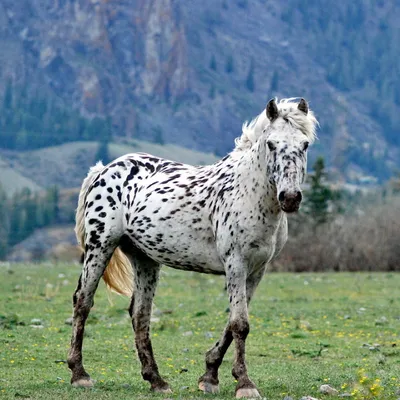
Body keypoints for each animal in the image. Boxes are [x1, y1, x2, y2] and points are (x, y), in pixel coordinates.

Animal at [68, 99, 318, 396]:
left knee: (140, 313)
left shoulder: (257, 270)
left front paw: (210, 375)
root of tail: (103, 170)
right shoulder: (236, 263)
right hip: (100, 245)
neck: (247, 193)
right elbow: (240, 324)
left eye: (304, 144)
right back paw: (79, 374)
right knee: (83, 301)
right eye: (271, 143)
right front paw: (244, 384)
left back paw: (156, 380)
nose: (290, 198)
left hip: (144, 258)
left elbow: (233, 322)